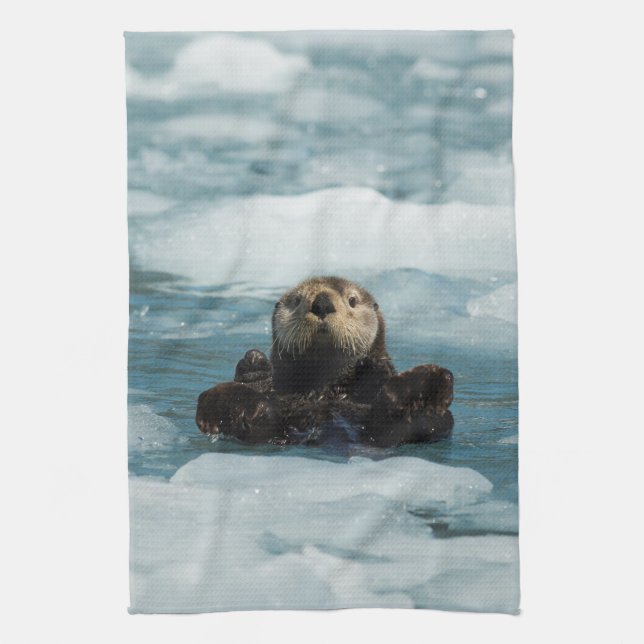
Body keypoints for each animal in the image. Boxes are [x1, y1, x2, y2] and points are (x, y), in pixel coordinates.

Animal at [196, 276, 454, 447]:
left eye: (352, 300)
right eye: (297, 300)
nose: (321, 303)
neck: (325, 388)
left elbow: (379, 371)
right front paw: (253, 364)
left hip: (432, 422)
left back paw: (421, 389)